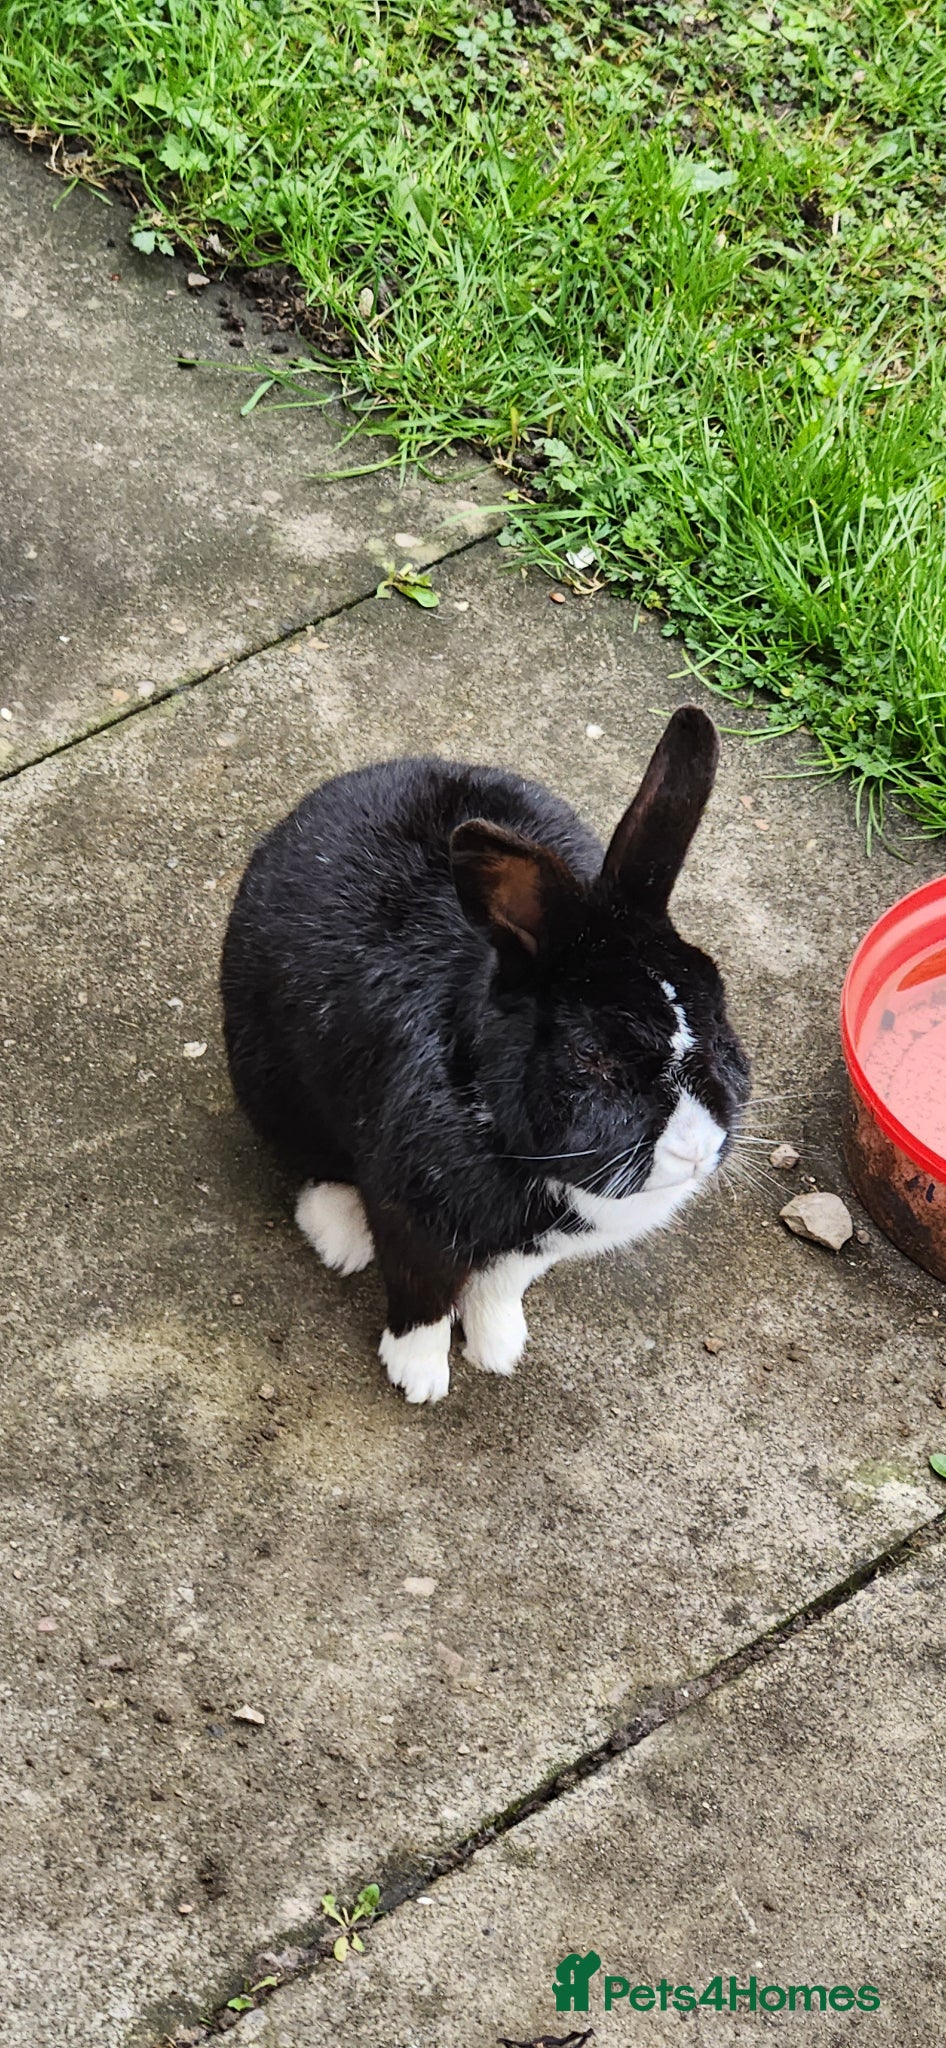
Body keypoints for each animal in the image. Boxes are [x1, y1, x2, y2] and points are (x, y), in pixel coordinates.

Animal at [221, 706, 750, 1405]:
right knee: (313, 1162)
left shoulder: (534, 1247)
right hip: (270, 1081)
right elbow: (423, 1292)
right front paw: (419, 1377)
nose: (694, 1148)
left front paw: (500, 1350)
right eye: (590, 1053)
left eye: (720, 1019)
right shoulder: (414, 1218)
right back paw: (341, 1237)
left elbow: (497, 1286)